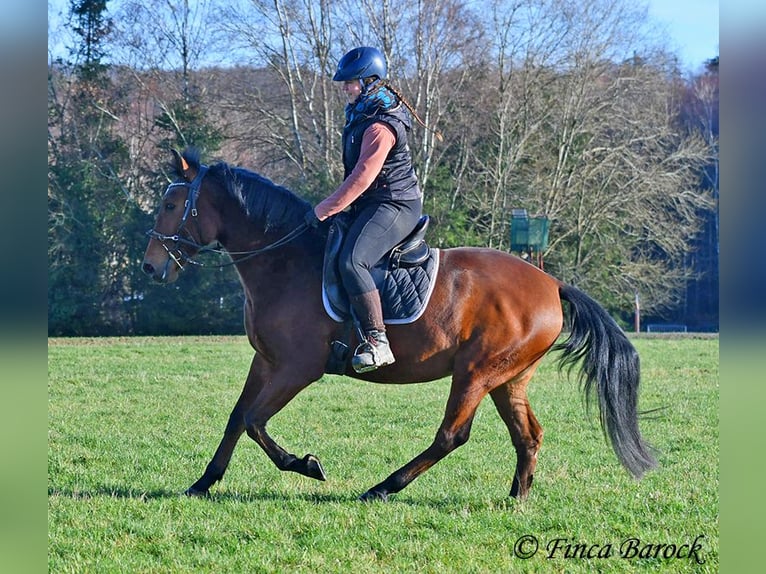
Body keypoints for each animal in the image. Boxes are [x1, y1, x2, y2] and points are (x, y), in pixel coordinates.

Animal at [141, 148, 656, 504]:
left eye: (170, 204)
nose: (149, 267)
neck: (284, 259)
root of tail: (551, 282)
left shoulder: (297, 368)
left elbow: (254, 420)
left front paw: (305, 465)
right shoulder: (266, 361)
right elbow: (237, 417)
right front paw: (203, 482)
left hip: (476, 373)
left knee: (452, 435)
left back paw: (383, 488)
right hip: (508, 378)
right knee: (527, 435)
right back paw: (517, 498)